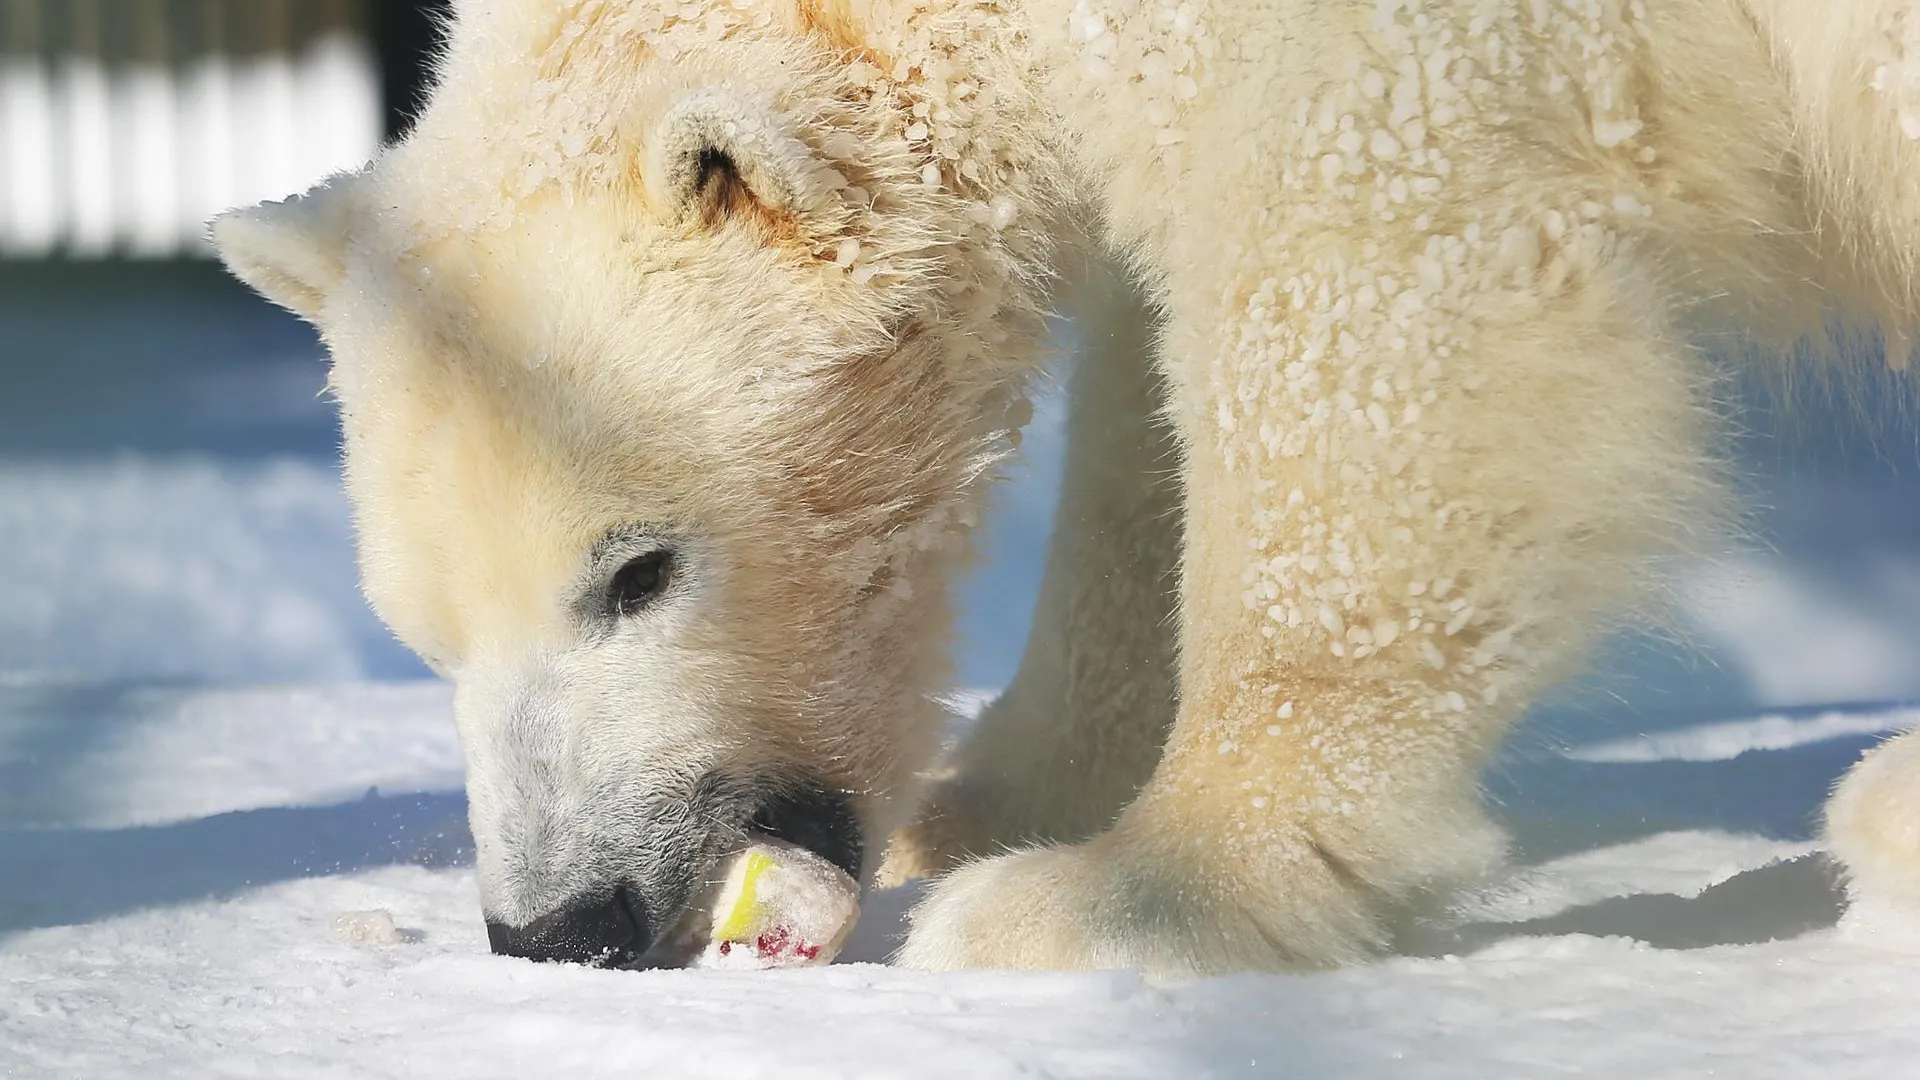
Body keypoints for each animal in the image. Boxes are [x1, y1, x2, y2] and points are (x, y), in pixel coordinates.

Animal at [214, 0, 1920, 976]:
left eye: (637, 571)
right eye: (423, 633)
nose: (564, 926)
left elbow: (1366, 264)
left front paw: (1135, 894)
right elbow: (1138, 421)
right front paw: (986, 804)